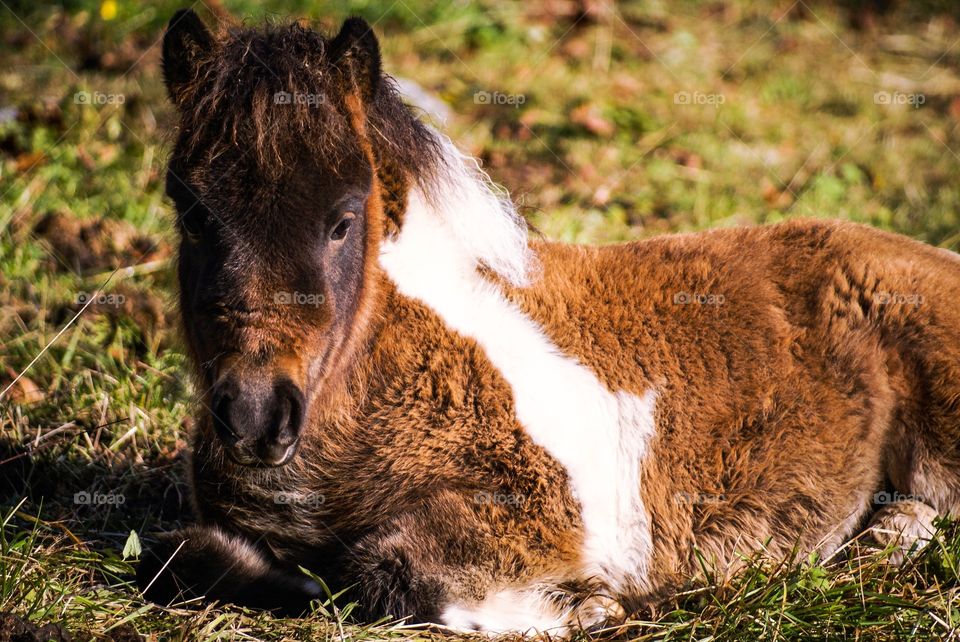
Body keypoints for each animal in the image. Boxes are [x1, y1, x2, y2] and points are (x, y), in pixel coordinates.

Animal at [139, 10, 960, 636]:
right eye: (190, 211)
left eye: (343, 221)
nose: (254, 416)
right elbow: (175, 554)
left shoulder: (537, 514)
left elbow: (392, 572)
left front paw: (590, 607)